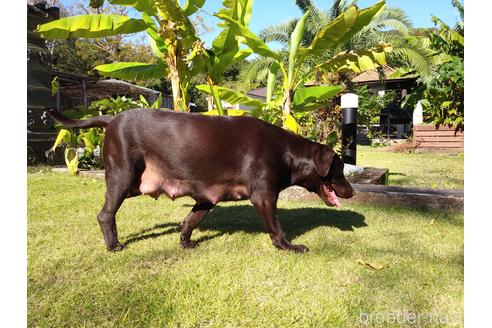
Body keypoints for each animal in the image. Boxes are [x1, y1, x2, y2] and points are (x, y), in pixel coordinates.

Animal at [52, 109, 356, 252]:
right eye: (340, 169)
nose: (352, 192)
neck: (286, 152)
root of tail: (111, 119)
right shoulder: (264, 197)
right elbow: (277, 229)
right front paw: (289, 247)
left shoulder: (207, 197)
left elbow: (189, 221)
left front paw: (185, 243)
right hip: (123, 176)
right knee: (105, 214)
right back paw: (113, 245)